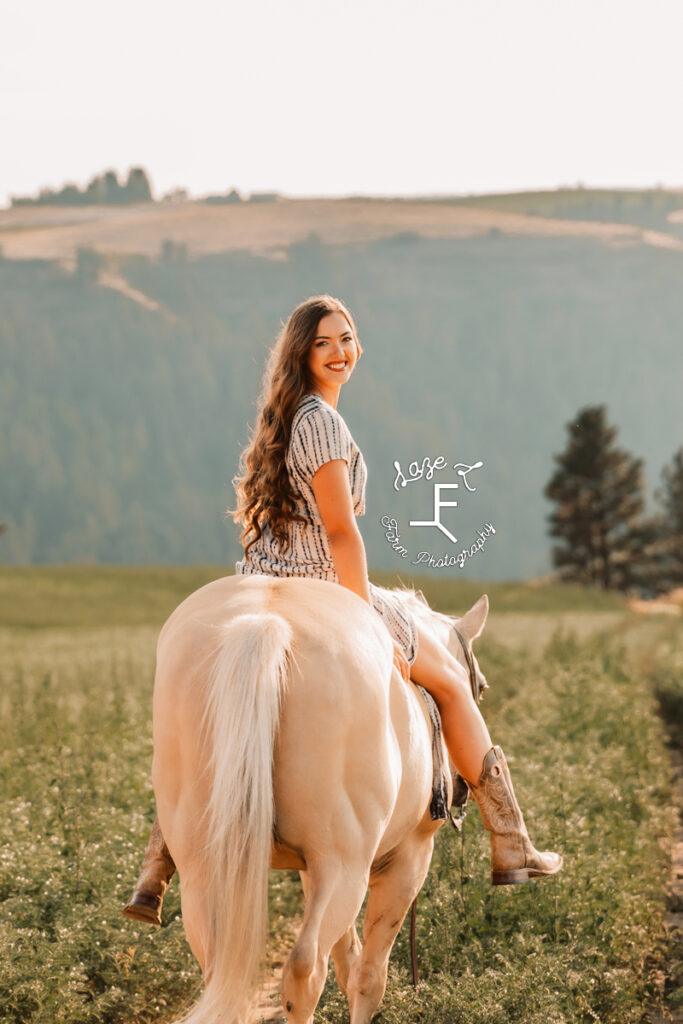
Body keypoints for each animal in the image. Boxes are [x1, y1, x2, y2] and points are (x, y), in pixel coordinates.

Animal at [152, 573, 489, 1024]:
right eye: (480, 689)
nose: (459, 786)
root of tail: (266, 622)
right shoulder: (408, 860)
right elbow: (368, 976)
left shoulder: (310, 869)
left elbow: (348, 958)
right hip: (344, 865)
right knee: (305, 969)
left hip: (203, 867)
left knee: (220, 972)